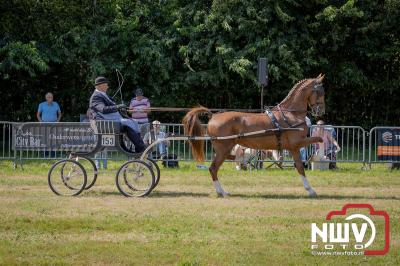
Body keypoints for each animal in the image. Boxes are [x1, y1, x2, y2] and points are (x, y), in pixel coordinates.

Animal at [183, 74, 326, 196]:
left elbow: (302, 162)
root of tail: (213, 115)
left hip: (225, 148)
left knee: (228, 159)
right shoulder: (296, 145)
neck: (290, 115)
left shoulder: (293, 147)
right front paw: (311, 189)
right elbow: (314, 147)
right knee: (213, 168)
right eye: (320, 91)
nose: (321, 111)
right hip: (223, 148)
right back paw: (221, 192)